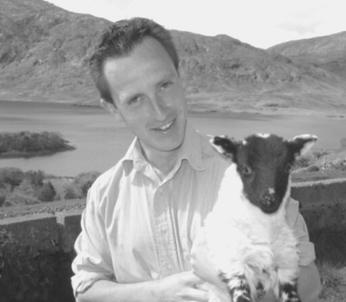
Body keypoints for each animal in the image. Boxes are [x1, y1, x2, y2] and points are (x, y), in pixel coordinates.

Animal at [193, 133, 318, 302]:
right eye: (246, 168)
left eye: (288, 167)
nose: (269, 199)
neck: (264, 228)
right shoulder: (233, 263)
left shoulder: (287, 265)